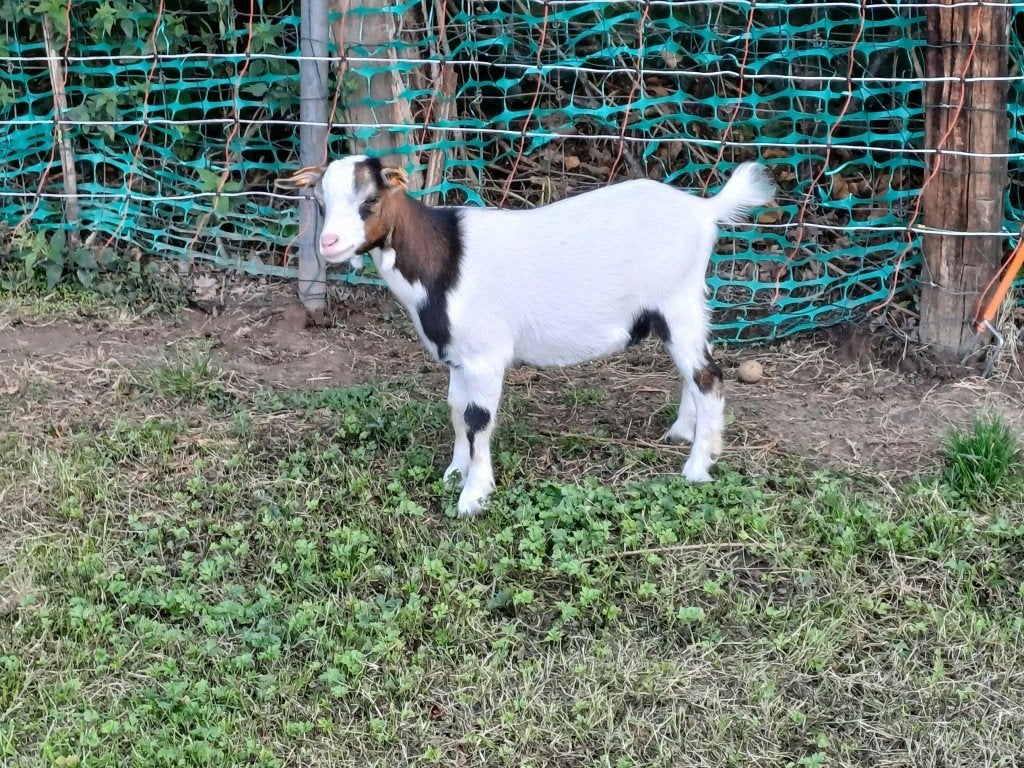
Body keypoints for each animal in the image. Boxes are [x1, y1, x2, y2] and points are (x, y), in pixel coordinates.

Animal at [277, 157, 777, 516]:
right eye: (320, 201)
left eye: (369, 200)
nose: (328, 244)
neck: (443, 258)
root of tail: (704, 210)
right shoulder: (459, 355)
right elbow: (456, 410)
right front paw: (455, 472)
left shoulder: (484, 353)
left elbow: (478, 418)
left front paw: (473, 497)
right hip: (679, 309)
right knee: (693, 372)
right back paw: (680, 432)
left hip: (678, 301)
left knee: (709, 375)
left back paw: (697, 467)